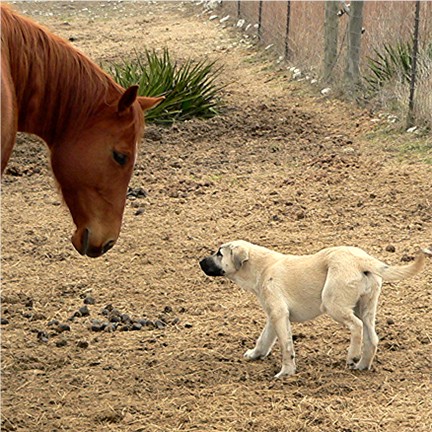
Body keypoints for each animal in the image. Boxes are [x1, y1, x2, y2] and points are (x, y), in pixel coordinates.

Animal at [199, 241, 428, 380]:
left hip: (333, 304)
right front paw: (256, 354)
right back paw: (362, 365)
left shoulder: (279, 315)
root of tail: (363, 260)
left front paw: (286, 372)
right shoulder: (274, 316)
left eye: (219, 253)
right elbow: (264, 339)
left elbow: (286, 348)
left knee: (356, 327)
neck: (261, 267)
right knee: (372, 338)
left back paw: (353, 356)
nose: (200, 262)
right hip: (366, 308)